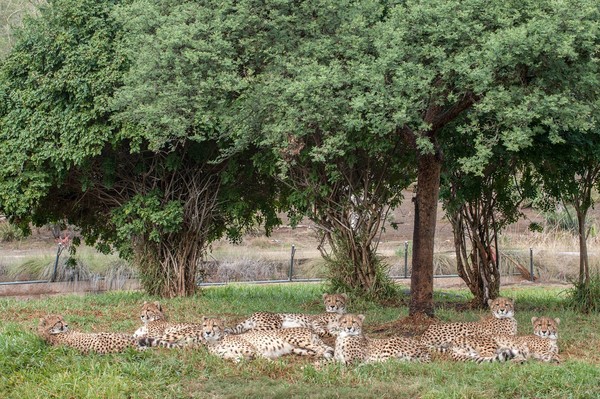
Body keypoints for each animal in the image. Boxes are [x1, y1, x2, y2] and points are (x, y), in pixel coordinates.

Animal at [200, 318, 332, 364]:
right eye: (204, 325)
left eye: (214, 325)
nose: (207, 332)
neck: (215, 341)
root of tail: (309, 329)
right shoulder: (229, 356)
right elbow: (235, 359)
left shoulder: (253, 349)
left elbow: (263, 358)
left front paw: (276, 364)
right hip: (298, 349)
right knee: (321, 350)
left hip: (295, 338)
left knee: (321, 348)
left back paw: (320, 357)